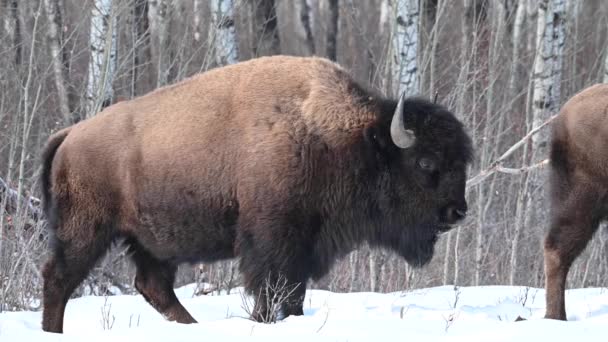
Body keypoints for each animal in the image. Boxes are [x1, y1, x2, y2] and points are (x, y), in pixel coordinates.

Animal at [40, 55, 472, 332]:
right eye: (425, 163)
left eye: (462, 161)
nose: (457, 212)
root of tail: (71, 134)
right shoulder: (273, 241)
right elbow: (272, 290)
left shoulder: (303, 246)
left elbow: (293, 295)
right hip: (86, 231)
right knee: (59, 279)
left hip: (149, 240)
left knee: (154, 286)